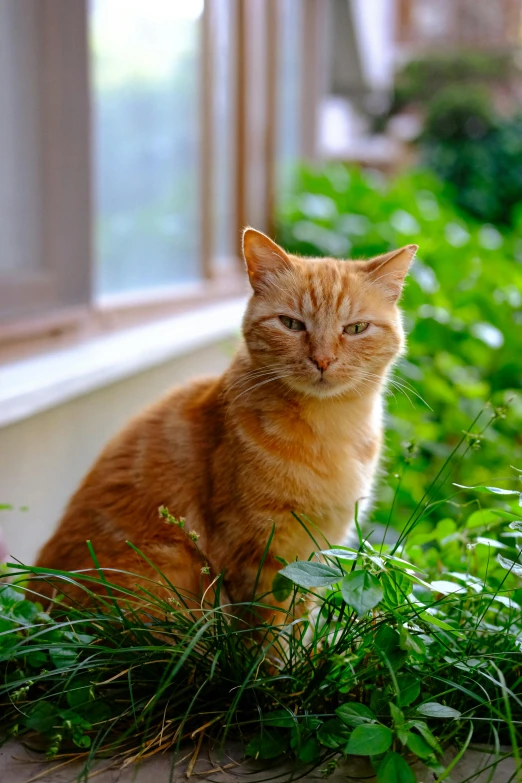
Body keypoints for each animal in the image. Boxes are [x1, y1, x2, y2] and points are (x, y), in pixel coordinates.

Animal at [31, 230, 414, 620]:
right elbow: (271, 629)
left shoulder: (315, 554)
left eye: (356, 328)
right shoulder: (259, 556)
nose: (322, 360)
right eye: (291, 324)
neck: (330, 427)